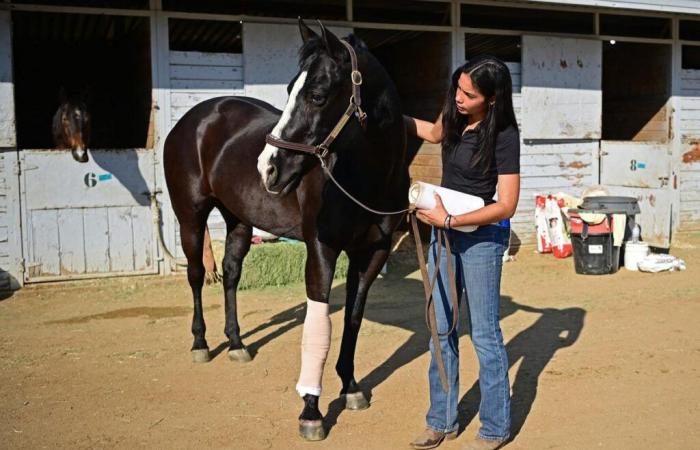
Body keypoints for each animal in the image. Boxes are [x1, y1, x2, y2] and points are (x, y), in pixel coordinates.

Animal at [161, 20, 408, 440]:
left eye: (318, 95)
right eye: (290, 88)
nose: (268, 168)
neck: (365, 177)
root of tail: (195, 118)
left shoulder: (372, 252)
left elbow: (353, 319)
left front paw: (351, 387)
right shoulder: (322, 249)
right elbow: (319, 323)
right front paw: (311, 409)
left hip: (238, 219)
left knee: (230, 274)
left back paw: (236, 343)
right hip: (190, 217)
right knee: (196, 275)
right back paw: (200, 344)